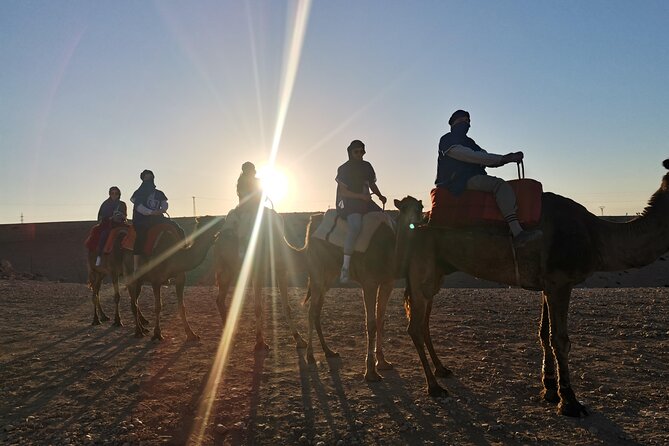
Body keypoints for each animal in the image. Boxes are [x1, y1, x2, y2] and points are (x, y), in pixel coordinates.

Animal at [214, 207, 308, 350]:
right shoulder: (257, 270)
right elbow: (258, 307)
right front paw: (260, 342)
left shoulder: (281, 270)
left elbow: (286, 307)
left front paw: (300, 340)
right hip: (225, 267)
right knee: (220, 299)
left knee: (220, 300)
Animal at [304, 197, 422, 382]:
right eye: (403, 208)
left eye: (421, 207)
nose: (418, 218)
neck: (388, 250)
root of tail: (312, 224)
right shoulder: (369, 283)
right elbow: (371, 323)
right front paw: (371, 372)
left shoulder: (387, 282)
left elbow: (381, 320)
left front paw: (383, 362)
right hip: (316, 272)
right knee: (311, 311)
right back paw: (309, 356)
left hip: (328, 276)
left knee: (317, 311)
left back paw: (329, 351)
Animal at [400, 159, 668, 416]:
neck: (596, 237)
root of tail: (417, 225)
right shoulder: (561, 282)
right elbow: (560, 339)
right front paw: (570, 402)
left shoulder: (548, 285)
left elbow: (543, 333)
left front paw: (549, 389)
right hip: (422, 268)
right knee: (415, 327)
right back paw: (434, 387)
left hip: (436, 273)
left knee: (423, 323)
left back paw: (442, 370)